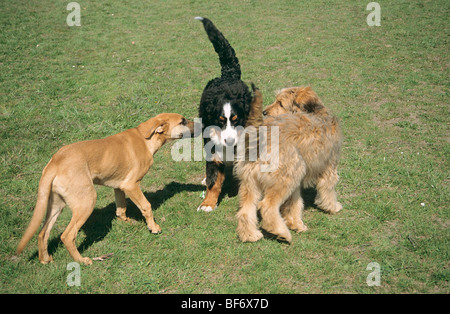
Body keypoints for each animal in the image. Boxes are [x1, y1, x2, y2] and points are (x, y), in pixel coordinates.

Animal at [15, 113, 195, 264]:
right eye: (183, 121)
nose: (200, 124)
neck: (146, 139)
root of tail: (55, 162)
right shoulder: (131, 185)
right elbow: (146, 206)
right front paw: (154, 227)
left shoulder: (119, 186)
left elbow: (121, 209)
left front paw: (128, 222)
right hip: (86, 202)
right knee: (67, 236)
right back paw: (82, 260)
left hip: (56, 205)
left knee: (42, 233)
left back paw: (45, 259)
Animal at [195, 17, 255, 213]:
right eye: (220, 121)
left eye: (236, 121)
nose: (229, 141)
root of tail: (228, 74)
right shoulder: (213, 150)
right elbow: (213, 181)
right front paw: (208, 203)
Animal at [234, 86, 342, 243]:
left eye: (280, 103)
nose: (264, 112)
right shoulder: (328, 166)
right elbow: (328, 189)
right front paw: (333, 207)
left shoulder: (295, 181)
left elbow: (294, 203)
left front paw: (295, 223)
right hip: (285, 177)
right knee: (267, 206)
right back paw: (281, 233)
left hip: (252, 182)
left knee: (246, 210)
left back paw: (250, 235)